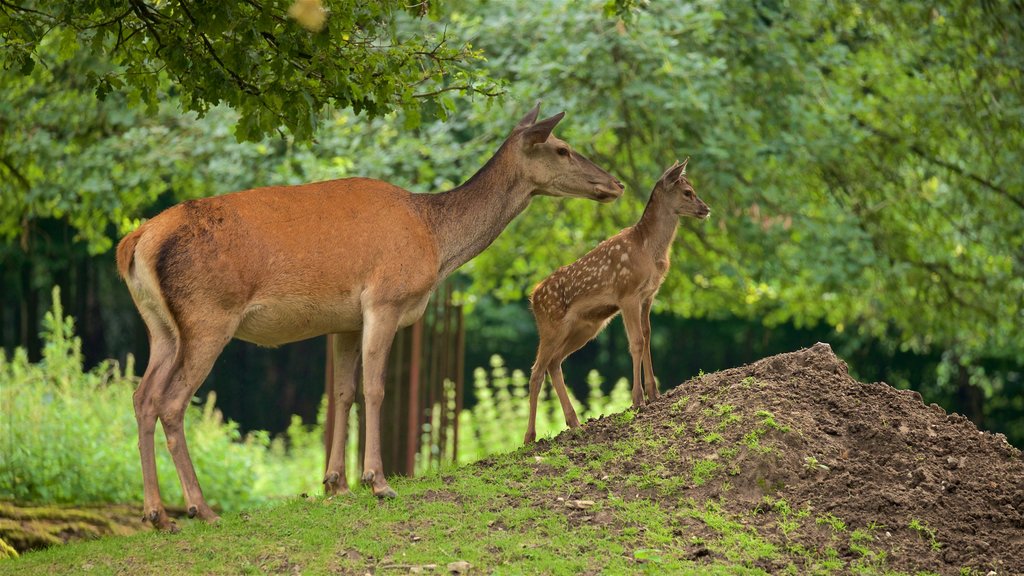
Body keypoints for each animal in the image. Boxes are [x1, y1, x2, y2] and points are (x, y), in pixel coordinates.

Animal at [115, 100, 618, 528]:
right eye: (562, 148)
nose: (616, 184)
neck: (436, 243)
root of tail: (136, 242)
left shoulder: (345, 320)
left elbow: (343, 393)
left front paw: (335, 484)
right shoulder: (385, 299)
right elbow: (374, 389)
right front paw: (377, 481)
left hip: (161, 327)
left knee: (142, 396)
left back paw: (156, 513)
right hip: (209, 315)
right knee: (172, 402)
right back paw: (199, 508)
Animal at [524, 158, 708, 440]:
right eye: (688, 192)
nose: (706, 209)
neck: (649, 249)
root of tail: (533, 296)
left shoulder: (648, 295)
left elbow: (647, 336)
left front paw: (654, 393)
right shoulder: (627, 293)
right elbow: (636, 341)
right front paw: (637, 399)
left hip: (587, 326)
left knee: (553, 363)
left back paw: (574, 422)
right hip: (551, 325)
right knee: (536, 371)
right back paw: (530, 437)